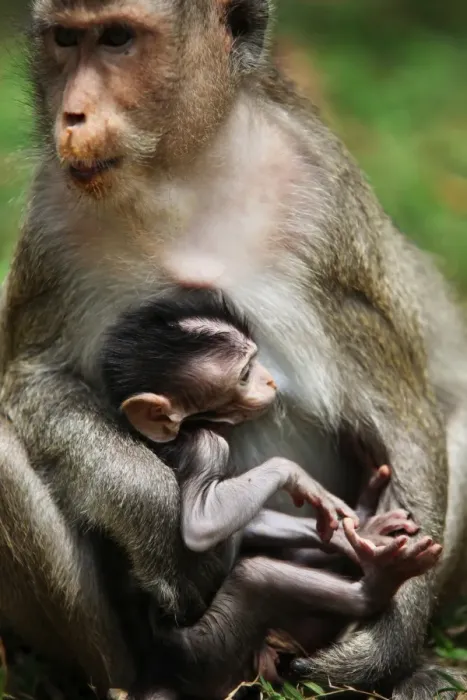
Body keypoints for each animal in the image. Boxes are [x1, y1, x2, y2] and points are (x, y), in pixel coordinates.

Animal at [97, 290, 440, 698]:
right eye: (245, 374)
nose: (271, 381)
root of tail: (160, 673)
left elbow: (247, 520)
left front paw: (355, 528)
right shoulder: (207, 445)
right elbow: (201, 525)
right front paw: (293, 474)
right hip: (210, 652)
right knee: (256, 577)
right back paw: (375, 584)